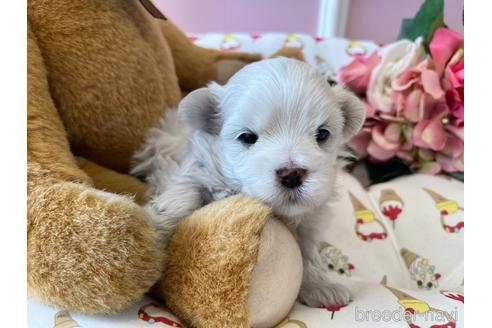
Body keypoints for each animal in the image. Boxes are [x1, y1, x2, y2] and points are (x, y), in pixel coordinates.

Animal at [131, 57, 366, 308]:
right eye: (247, 137)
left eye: (322, 134)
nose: (292, 174)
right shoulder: (196, 169)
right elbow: (183, 195)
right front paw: (148, 236)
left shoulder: (311, 219)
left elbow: (307, 251)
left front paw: (320, 286)